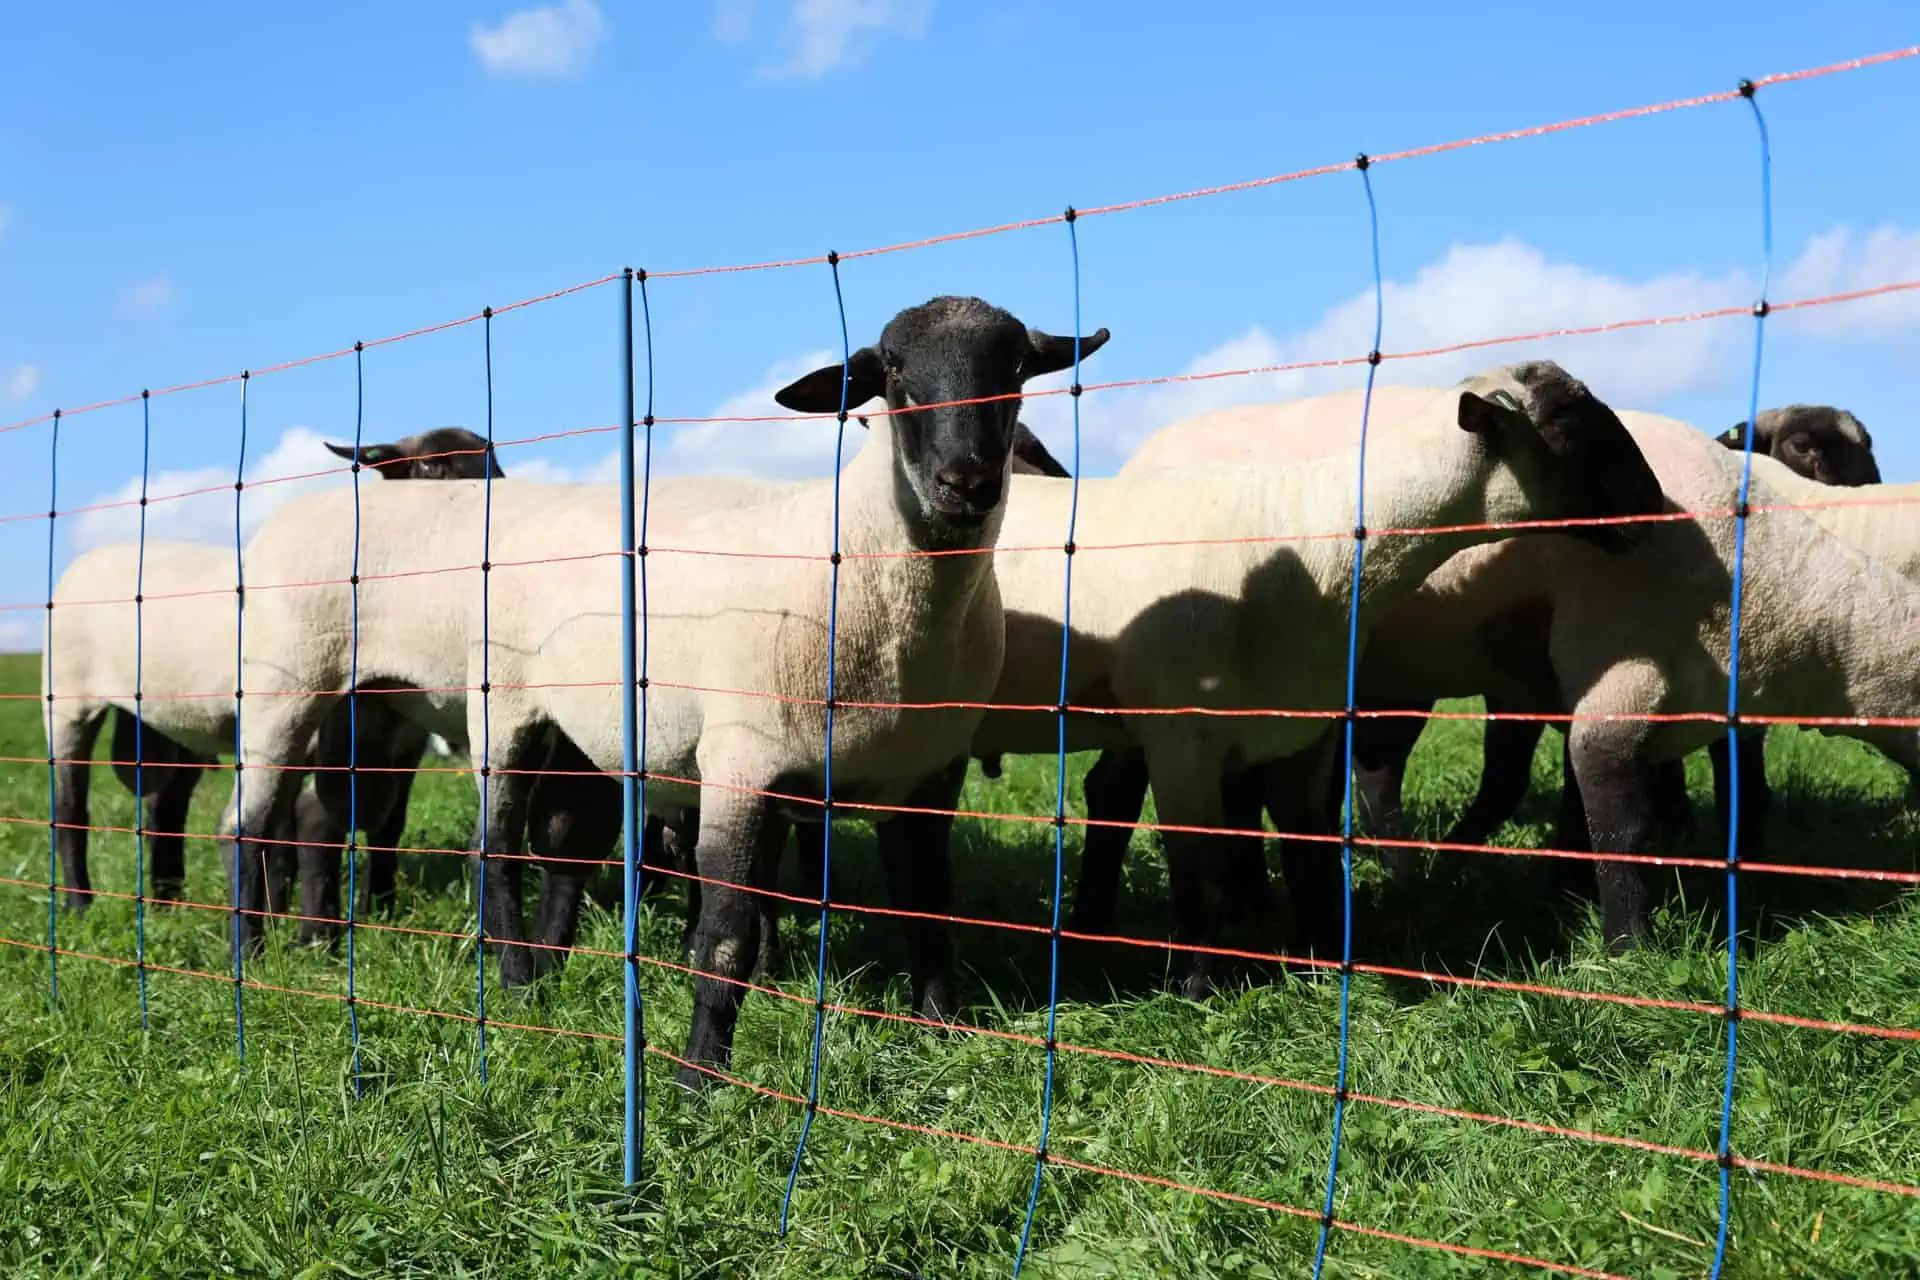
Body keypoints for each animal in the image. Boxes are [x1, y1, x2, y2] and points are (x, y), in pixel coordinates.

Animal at [42, 428, 500, 932]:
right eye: (431, 466)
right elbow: (307, 829)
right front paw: (305, 925)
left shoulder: (405, 749)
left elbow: (385, 828)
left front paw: (376, 912)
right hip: (68, 701)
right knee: (69, 807)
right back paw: (80, 905)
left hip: (176, 721)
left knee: (166, 805)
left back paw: (167, 904)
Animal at [221, 296, 1109, 1083]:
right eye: (891, 369)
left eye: (1018, 366)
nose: (965, 481)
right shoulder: (743, 764)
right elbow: (726, 936)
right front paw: (698, 1079)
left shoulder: (925, 774)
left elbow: (928, 909)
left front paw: (941, 1031)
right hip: (410, 695)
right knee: (417, 838)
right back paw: (452, 975)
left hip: (549, 726)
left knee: (540, 843)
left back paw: (527, 970)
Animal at [962, 362, 1664, 993]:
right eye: (1567, 421)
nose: (1655, 508)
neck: (1317, 547)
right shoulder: (1181, 738)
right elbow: (1201, 874)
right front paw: (1197, 990)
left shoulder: (1301, 732)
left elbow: (1311, 855)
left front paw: (1325, 965)